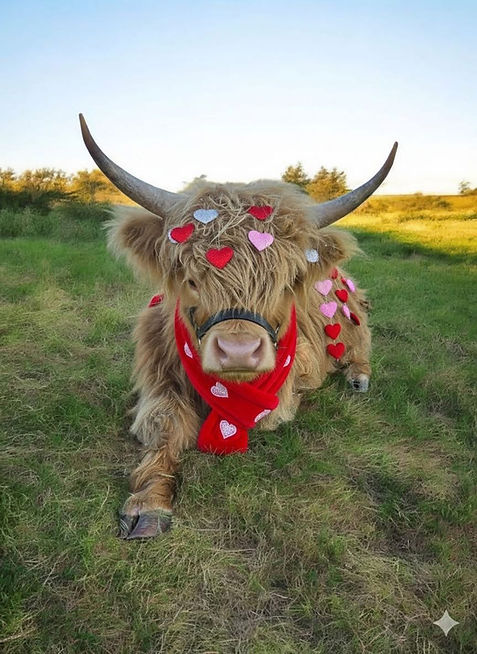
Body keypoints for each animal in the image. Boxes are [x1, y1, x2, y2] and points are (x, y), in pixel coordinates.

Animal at [79, 114, 397, 539]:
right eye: (191, 280)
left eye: (284, 283)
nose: (238, 353)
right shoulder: (157, 376)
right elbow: (164, 424)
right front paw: (149, 503)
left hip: (350, 324)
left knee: (361, 347)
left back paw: (358, 377)